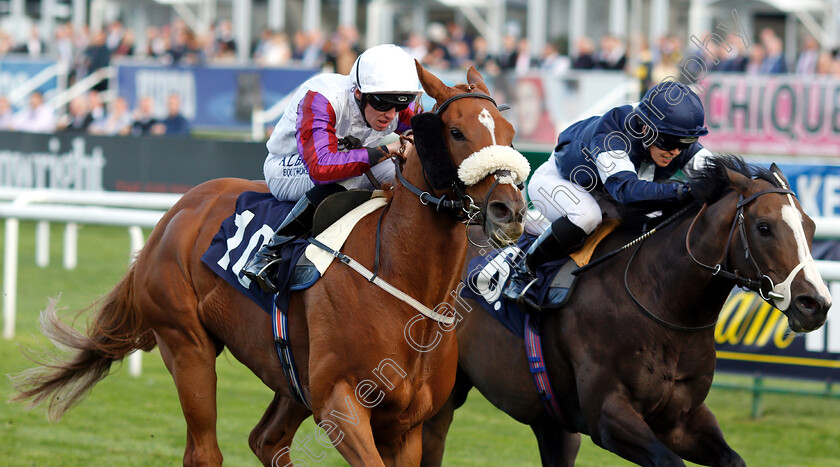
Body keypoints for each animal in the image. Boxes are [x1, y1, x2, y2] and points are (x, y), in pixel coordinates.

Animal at [11, 63, 532, 467]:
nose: (509, 210)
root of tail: (176, 212)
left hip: (289, 376)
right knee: (205, 450)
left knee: (265, 440)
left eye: (509, 136)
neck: (403, 285)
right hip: (186, 344)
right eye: (456, 132)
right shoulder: (341, 404)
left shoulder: (407, 425)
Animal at [424, 158, 832, 467]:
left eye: (811, 226)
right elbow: (668, 461)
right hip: (446, 392)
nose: (816, 304)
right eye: (764, 228)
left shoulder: (683, 420)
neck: (662, 302)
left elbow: (732, 458)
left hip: (550, 419)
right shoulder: (609, 416)